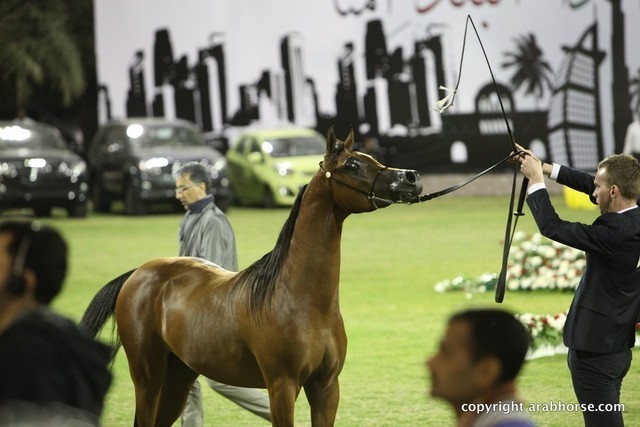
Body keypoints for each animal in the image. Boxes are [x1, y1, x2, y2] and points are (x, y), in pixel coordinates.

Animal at [80, 128, 423, 426]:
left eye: (371, 156)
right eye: (352, 165)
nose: (411, 178)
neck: (298, 300)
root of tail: (137, 274)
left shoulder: (326, 388)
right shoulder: (282, 387)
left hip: (178, 377)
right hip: (147, 376)